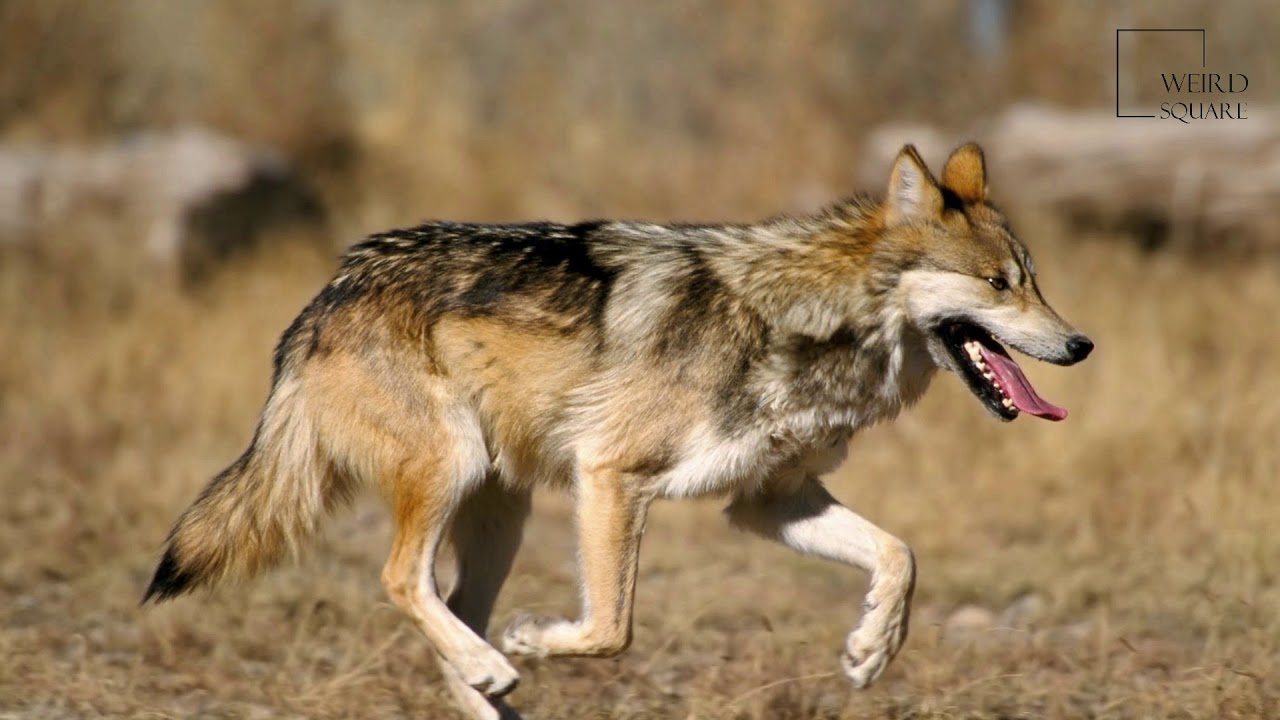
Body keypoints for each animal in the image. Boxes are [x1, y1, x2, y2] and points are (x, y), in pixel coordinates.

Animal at [145, 143, 1092, 719]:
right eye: (1000, 284)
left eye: (1034, 280)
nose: (1082, 345)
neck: (806, 320)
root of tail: (326, 294)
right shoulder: (611, 475)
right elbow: (611, 628)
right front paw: (536, 639)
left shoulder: (768, 502)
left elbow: (901, 555)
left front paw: (870, 652)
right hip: (454, 470)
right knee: (401, 581)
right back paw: (495, 664)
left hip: (502, 510)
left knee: (448, 606)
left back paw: (489, 687)